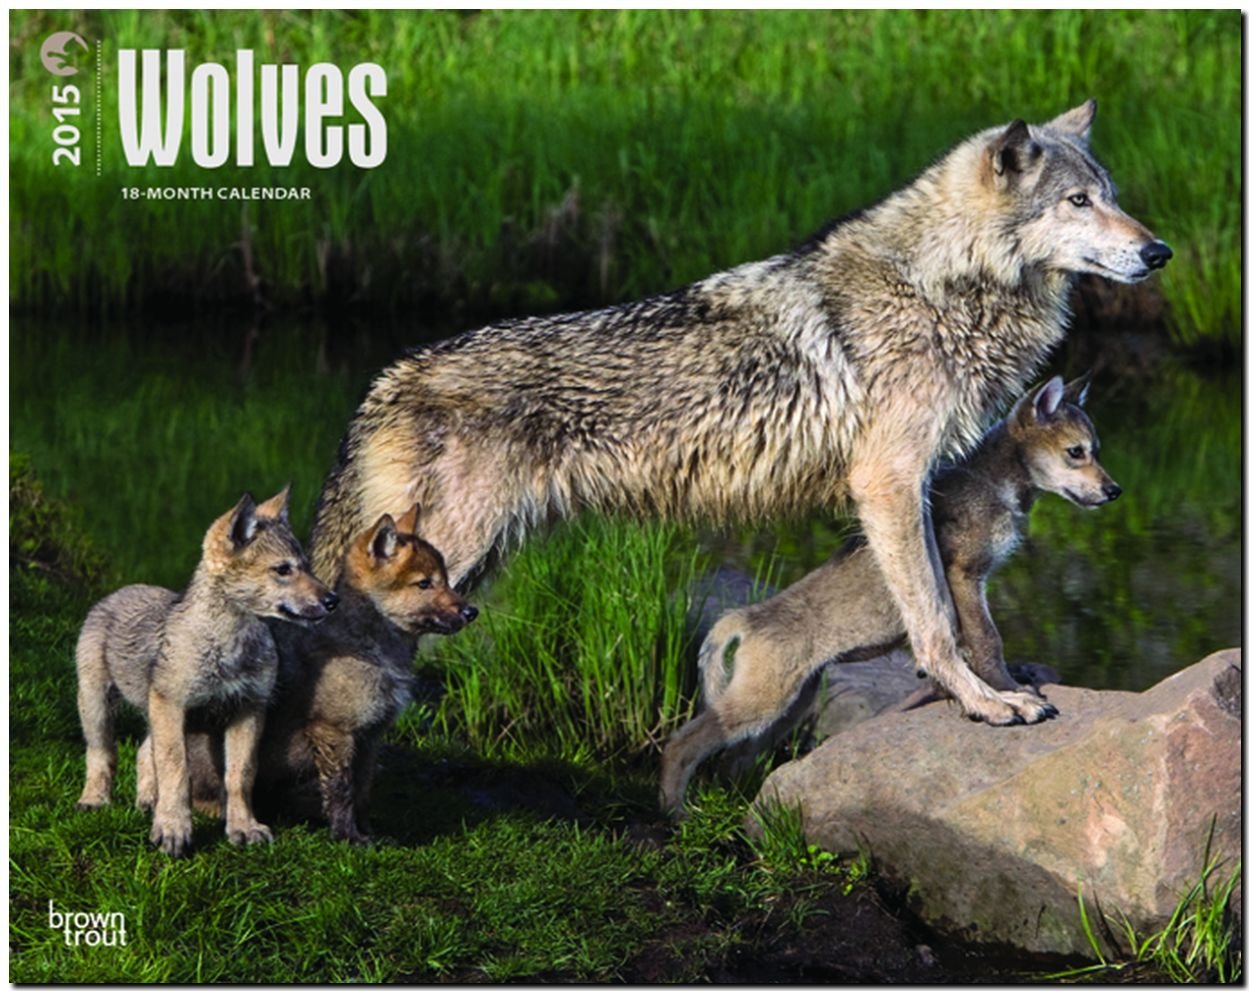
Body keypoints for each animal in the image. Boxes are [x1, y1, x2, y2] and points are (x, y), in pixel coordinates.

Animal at [75, 488, 337, 856]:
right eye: (283, 569)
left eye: (307, 568)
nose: (333, 600)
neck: (229, 646)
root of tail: (119, 592)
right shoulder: (172, 707)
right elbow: (176, 771)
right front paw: (173, 830)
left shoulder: (248, 711)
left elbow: (240, 776)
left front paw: (243, 828)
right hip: (97, 707)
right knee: (101, 754)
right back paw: (95, 800)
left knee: (143, 752)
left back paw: (147, 802)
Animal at [185, 505, 478, 843]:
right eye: (424, 584)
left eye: (445, 580)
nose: (472, 612)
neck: (371, 646)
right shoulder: (334, 731)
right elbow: (341, 791)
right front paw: (348, 837)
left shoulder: (369, 737)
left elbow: (361, 791)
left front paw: (370, 834)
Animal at [310, 100, 1169, 727]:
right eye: (1078, 202)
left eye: (1115, 199)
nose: (1158, 252)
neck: (942, 284)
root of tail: (385, 380)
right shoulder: (889, 484)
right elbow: (936, 621)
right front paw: (986, 703)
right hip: (442, 559)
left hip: (463, 571)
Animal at [658, 374, 1120, 813]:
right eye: (1076, 452)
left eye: (1096, 449)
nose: (1114, 491)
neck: (993, 481)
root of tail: (746, 617)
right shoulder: (965, 576)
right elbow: (988, 642)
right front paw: (1009, 694)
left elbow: (969, 646)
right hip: (762, 702)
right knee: (681, 744)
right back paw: (676, 812)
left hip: (788, 708)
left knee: (729, 759)